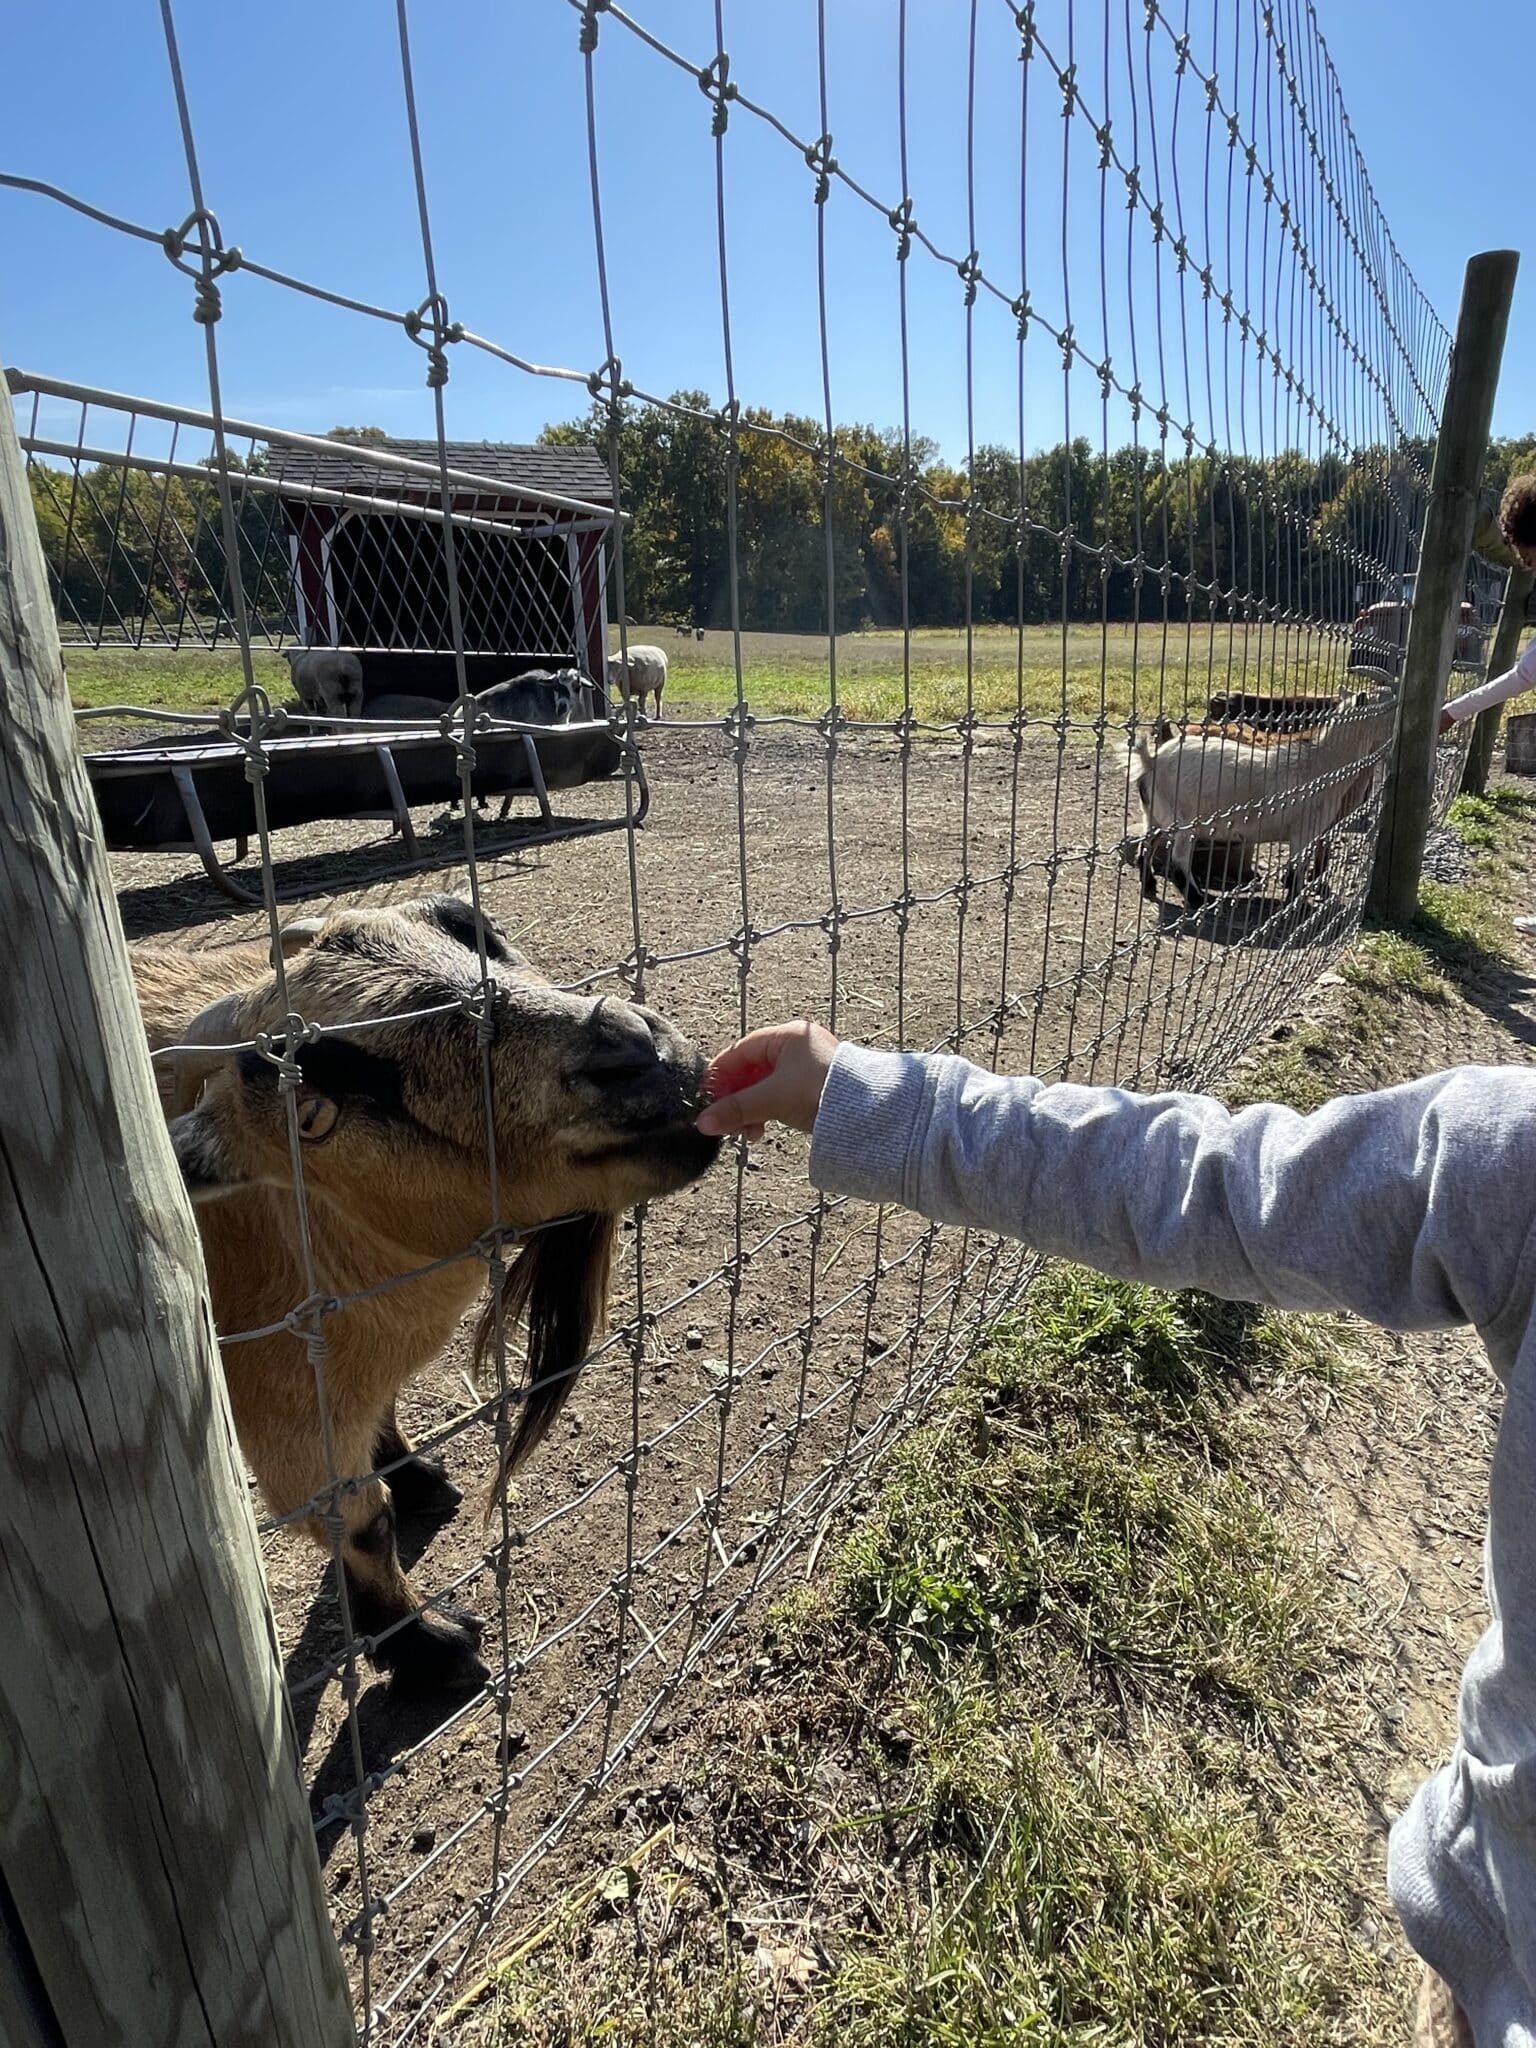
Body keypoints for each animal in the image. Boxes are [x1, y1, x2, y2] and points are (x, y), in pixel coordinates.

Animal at [131, 897, 720, 1695]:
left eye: (471, 926)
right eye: (313, 1114)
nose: (635, 1053)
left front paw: (414, 1472)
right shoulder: (283, 1424)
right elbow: (365, 1528)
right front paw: (430, 1645)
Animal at [1122, 692, 1400, 909]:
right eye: (1387, 708)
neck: (1322, 763)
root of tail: (1152, 761)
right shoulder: (1304, 829)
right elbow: (1296, 870)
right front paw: (1295, 904)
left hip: (1156, 813)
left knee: (1147, 844)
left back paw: (1150, 884)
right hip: (1185, 819)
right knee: (1179, 860)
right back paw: (1198, 899)